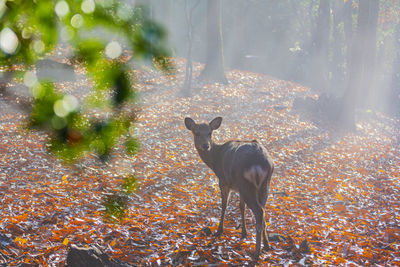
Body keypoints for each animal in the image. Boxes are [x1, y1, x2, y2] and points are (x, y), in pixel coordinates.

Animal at [185, 116, 276, 262]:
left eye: (210, 133)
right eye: (197, 133)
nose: (206, 145)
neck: (215, 161)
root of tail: (259, 163)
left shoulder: (224, 181)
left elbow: (224, 204)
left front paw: (219, 230)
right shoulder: (237, 187)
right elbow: (241, 206)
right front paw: (244, 232)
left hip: (246, 184)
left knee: (259, 211)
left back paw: (256, 253)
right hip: (264, 184)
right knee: (263, 210)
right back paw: (267, 245)